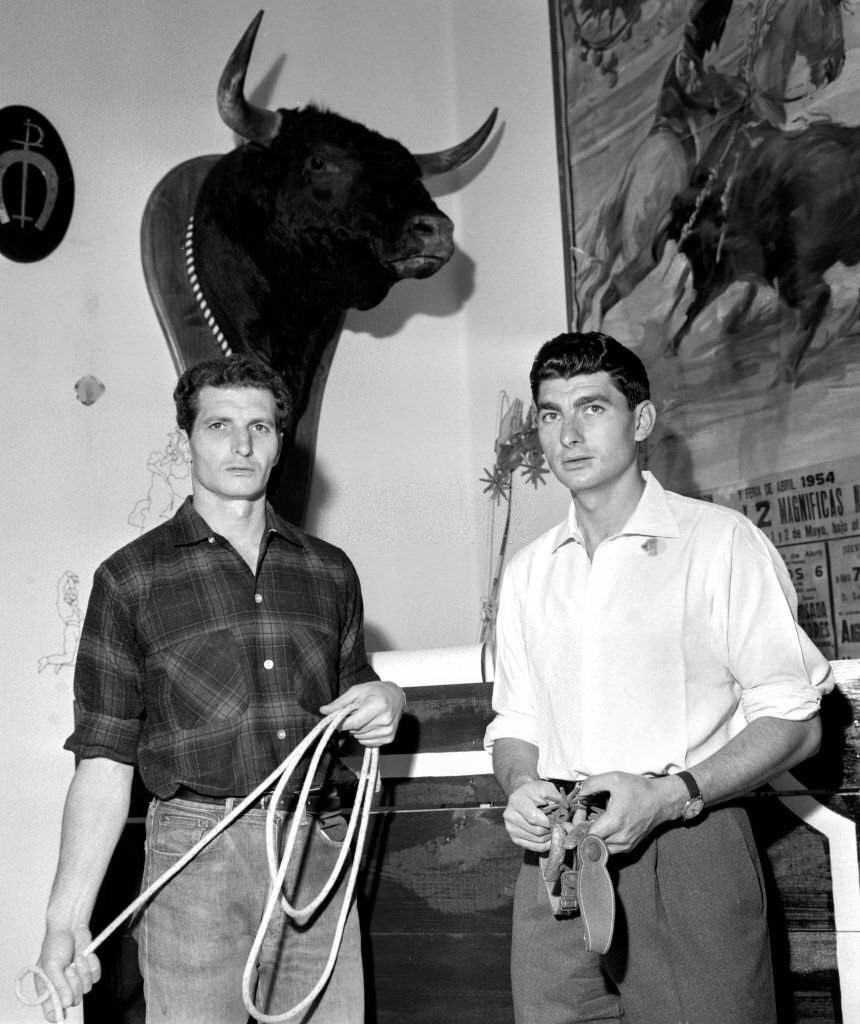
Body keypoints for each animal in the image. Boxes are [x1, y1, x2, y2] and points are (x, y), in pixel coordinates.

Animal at [659, 119, 860, 385]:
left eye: (699, 247)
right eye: (683, 246)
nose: (698, 281)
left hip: (791, 272)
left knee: (816, 297)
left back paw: (786, 371)